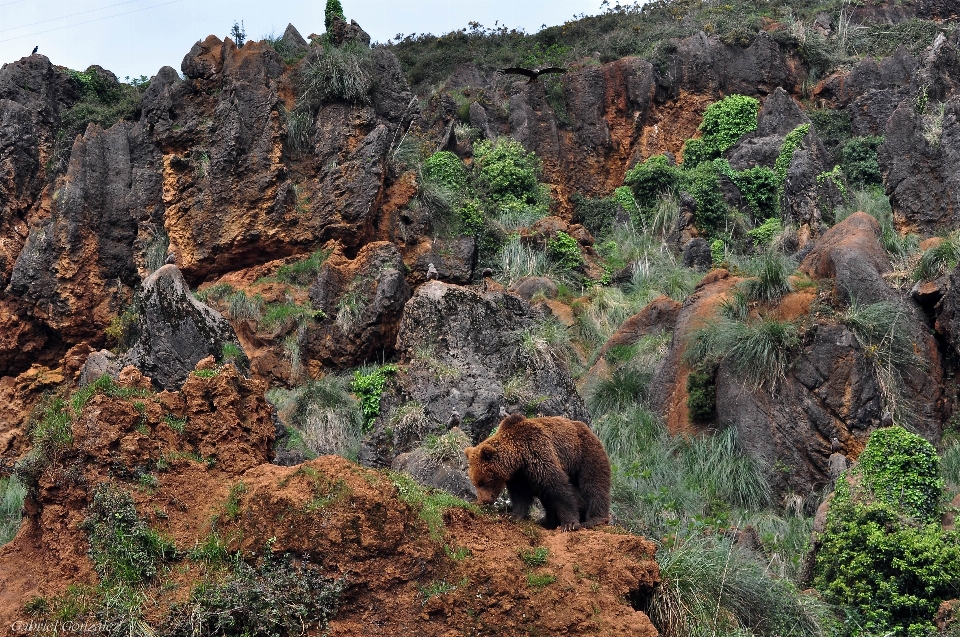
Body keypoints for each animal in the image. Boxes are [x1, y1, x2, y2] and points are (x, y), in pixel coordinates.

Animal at [464, 410, 612, 528]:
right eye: (475, 483)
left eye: (482, 482)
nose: (484, 500)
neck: (519, 457)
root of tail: (587, 427)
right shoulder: (519, 475)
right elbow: (520, 495)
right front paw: (513, 515)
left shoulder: (537, 451)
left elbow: (558, 487)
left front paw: (569, 523)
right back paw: (547, 520)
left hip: (585, 453)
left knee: (594, 484)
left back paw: (595, 519)